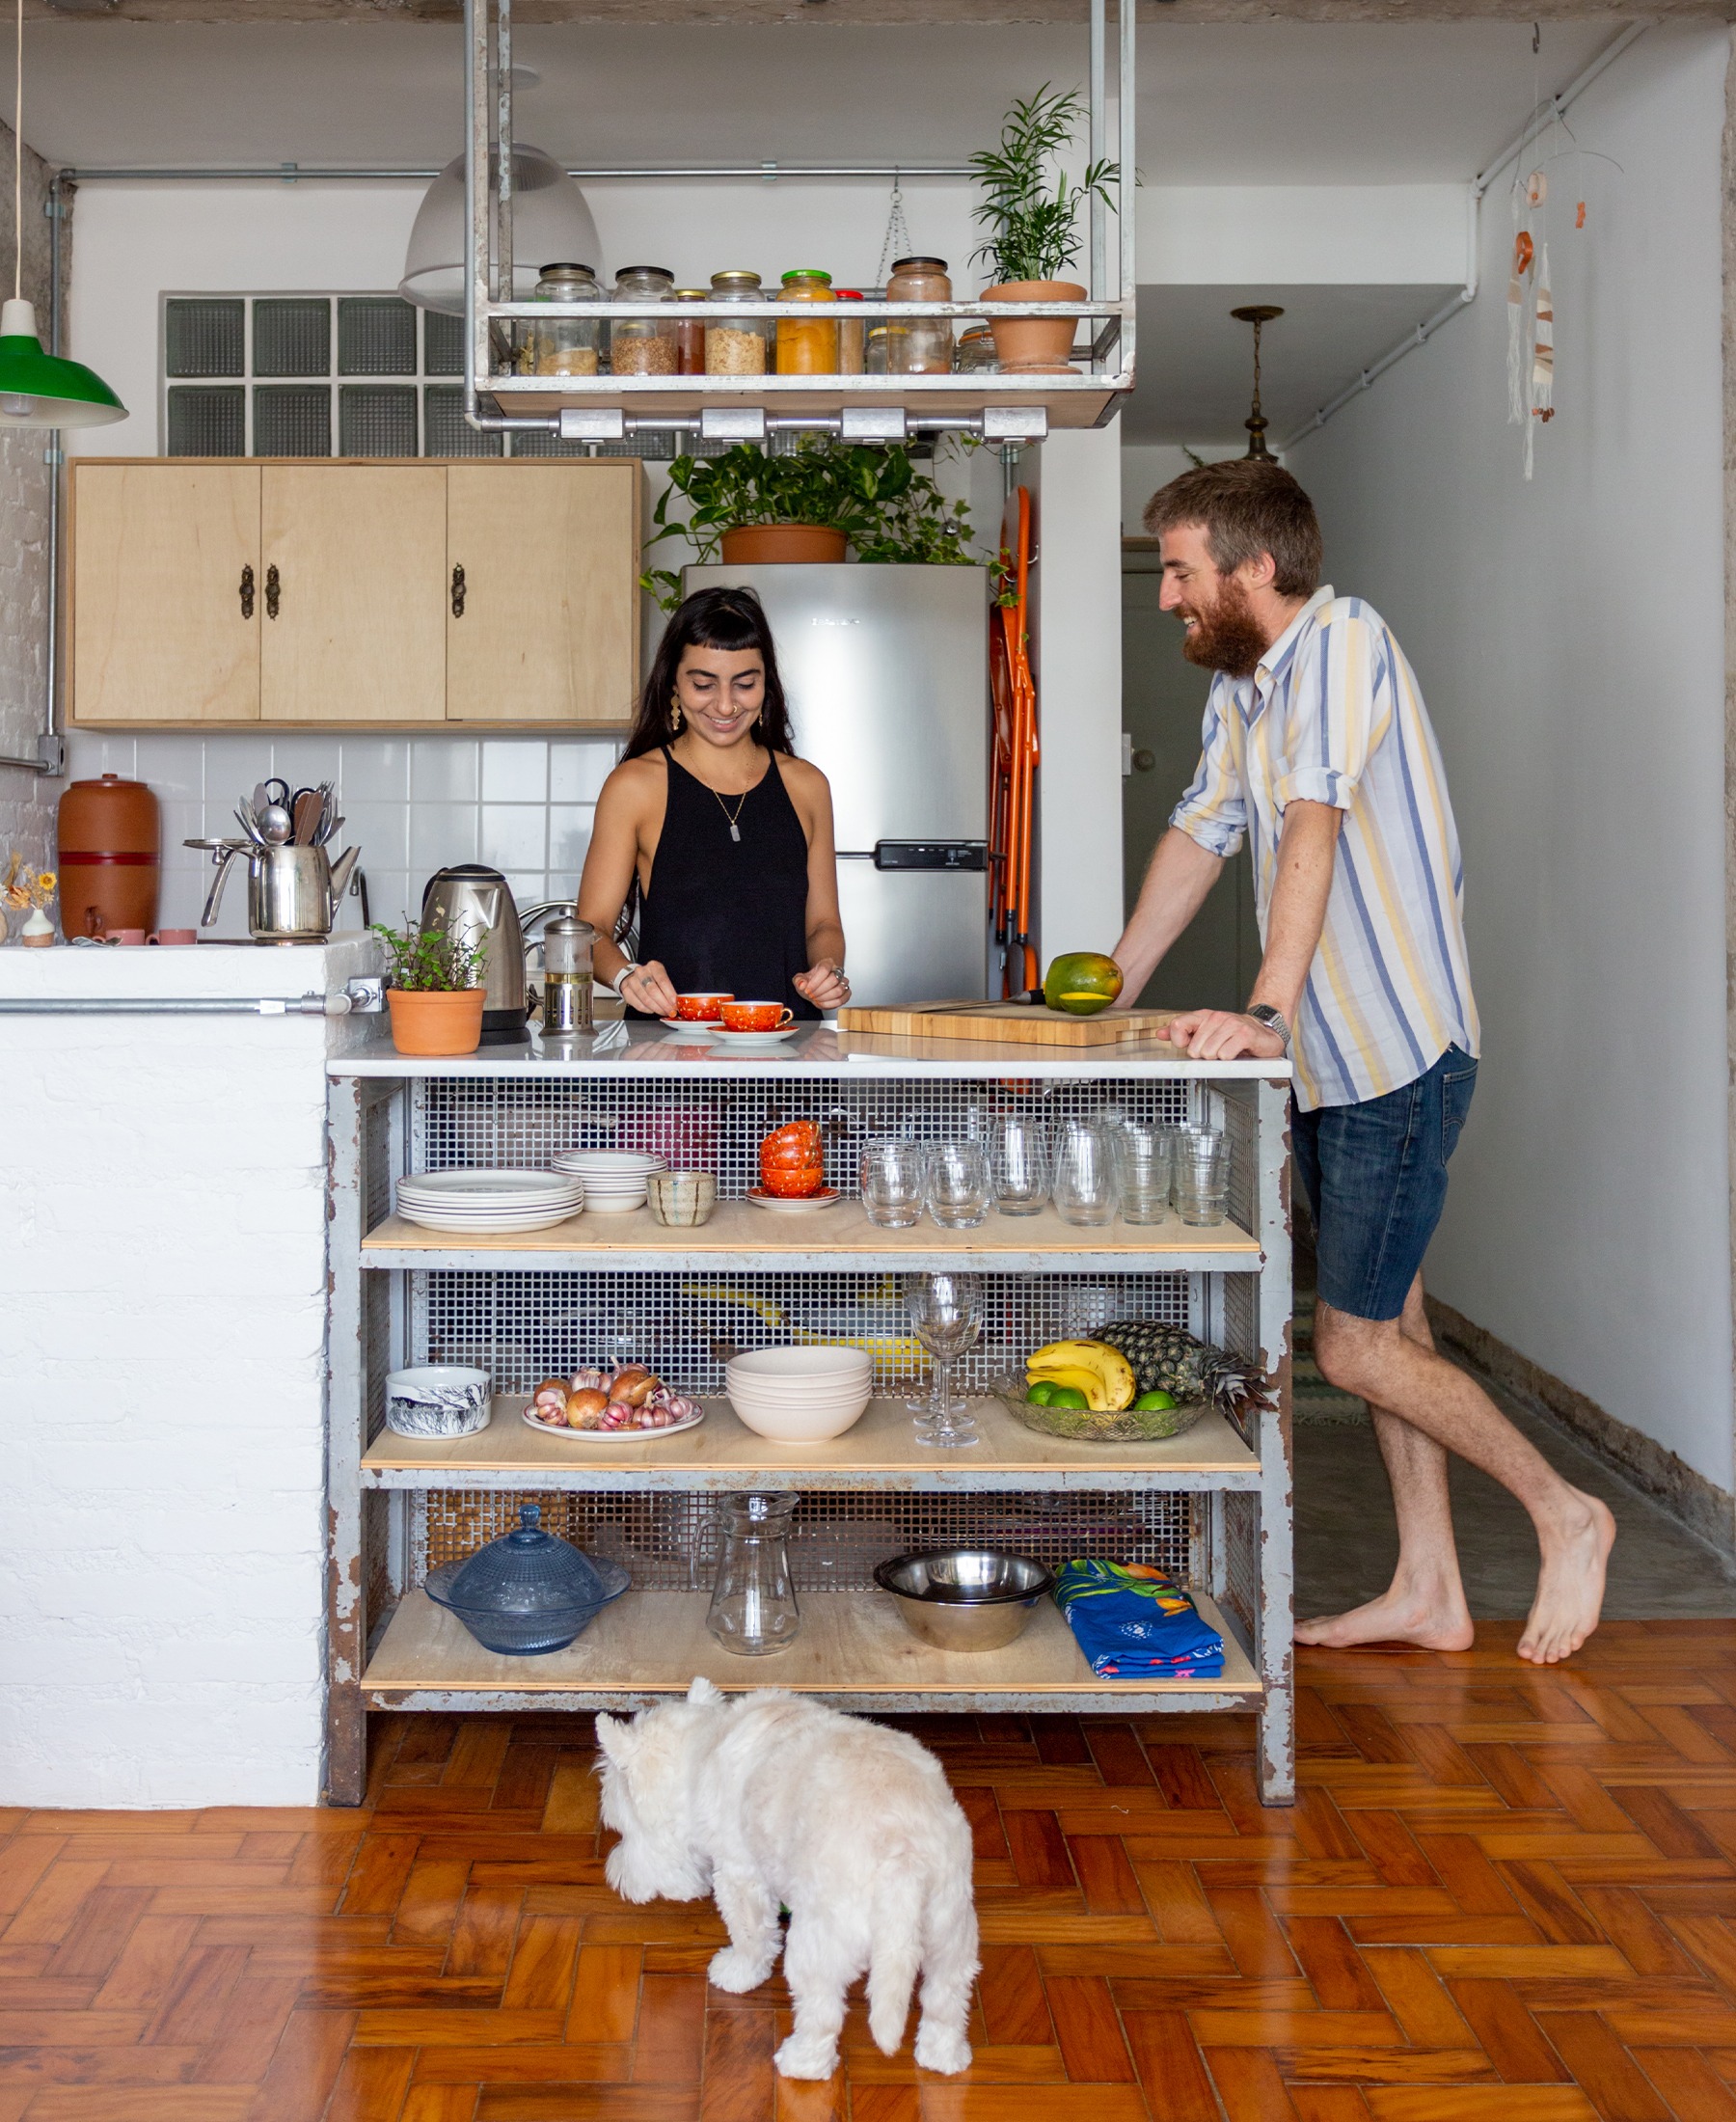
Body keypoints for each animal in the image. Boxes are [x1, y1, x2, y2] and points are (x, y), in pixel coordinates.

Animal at [589, 1672, 976, 2071]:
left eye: (619, 1827)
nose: (615, 1875)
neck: (707, 1743)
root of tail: (904, 1857)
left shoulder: (739, 1876)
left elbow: (751, 1935)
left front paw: (738, 1972)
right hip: (951, 1939)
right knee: (944, 2002)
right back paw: (944, 2057)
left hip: (817, 1948)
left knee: (822, 2015)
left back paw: (799, 2061)